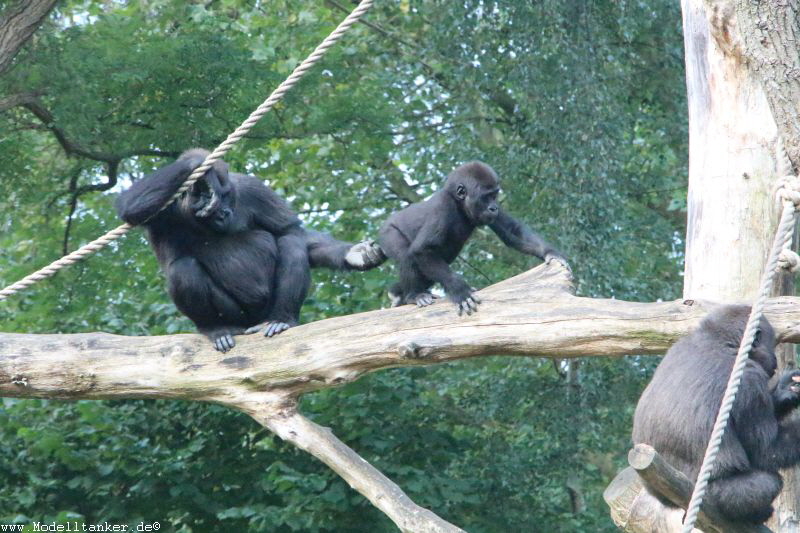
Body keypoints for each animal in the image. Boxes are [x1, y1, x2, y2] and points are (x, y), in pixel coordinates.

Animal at [115, 148, 384, 352]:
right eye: (214, 201)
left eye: (226, 197)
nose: (225, 212)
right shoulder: (165, 208)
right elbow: (129, 206)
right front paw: (199, 167)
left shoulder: (253, 189)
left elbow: (292, 231)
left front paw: (355, 254)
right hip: (239, 318)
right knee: (183, 268)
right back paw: (215, 328)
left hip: (265, 313)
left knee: (291, 244)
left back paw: (282, 319)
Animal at [378, 160, 564, 314]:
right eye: (486, 196)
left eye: (495, 196)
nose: (494, 208)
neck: (459, 204)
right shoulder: (443, 207)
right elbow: (422, 249)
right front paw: (460, 290)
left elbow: (512, 230)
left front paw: (551, 253)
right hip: (387, 232)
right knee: (406, 255)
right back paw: (413, 295)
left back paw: (397, 294)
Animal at [632, 304, 800, 524]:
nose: (773, 360)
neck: (720, 342)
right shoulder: (749, 379)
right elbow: (767, 450)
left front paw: (784, 390)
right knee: (767, 482)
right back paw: (756, 514)